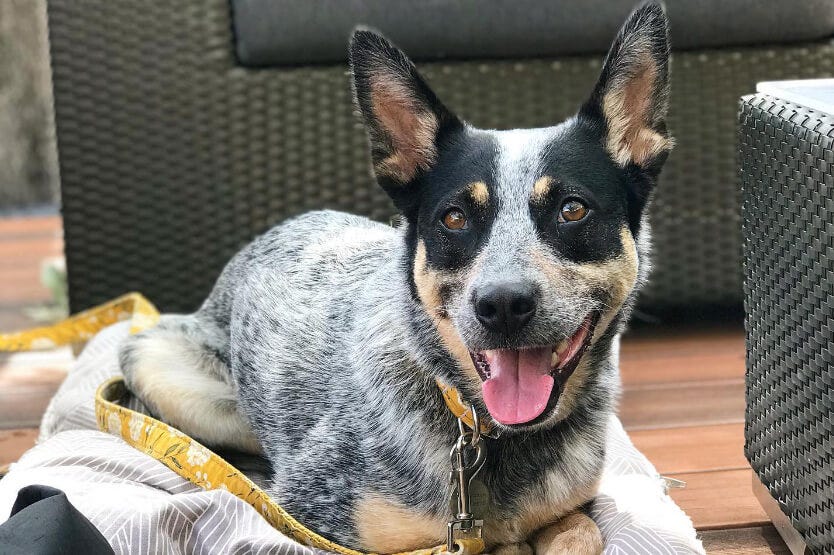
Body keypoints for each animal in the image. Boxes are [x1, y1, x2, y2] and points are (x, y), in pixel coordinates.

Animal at [120, 3, 672, 552]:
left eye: (572, 209)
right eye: (454, 218)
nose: (502, 305)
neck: (483, 431)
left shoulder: (569, 504)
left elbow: (583, 532)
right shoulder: (319, 516)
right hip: (163, 370)